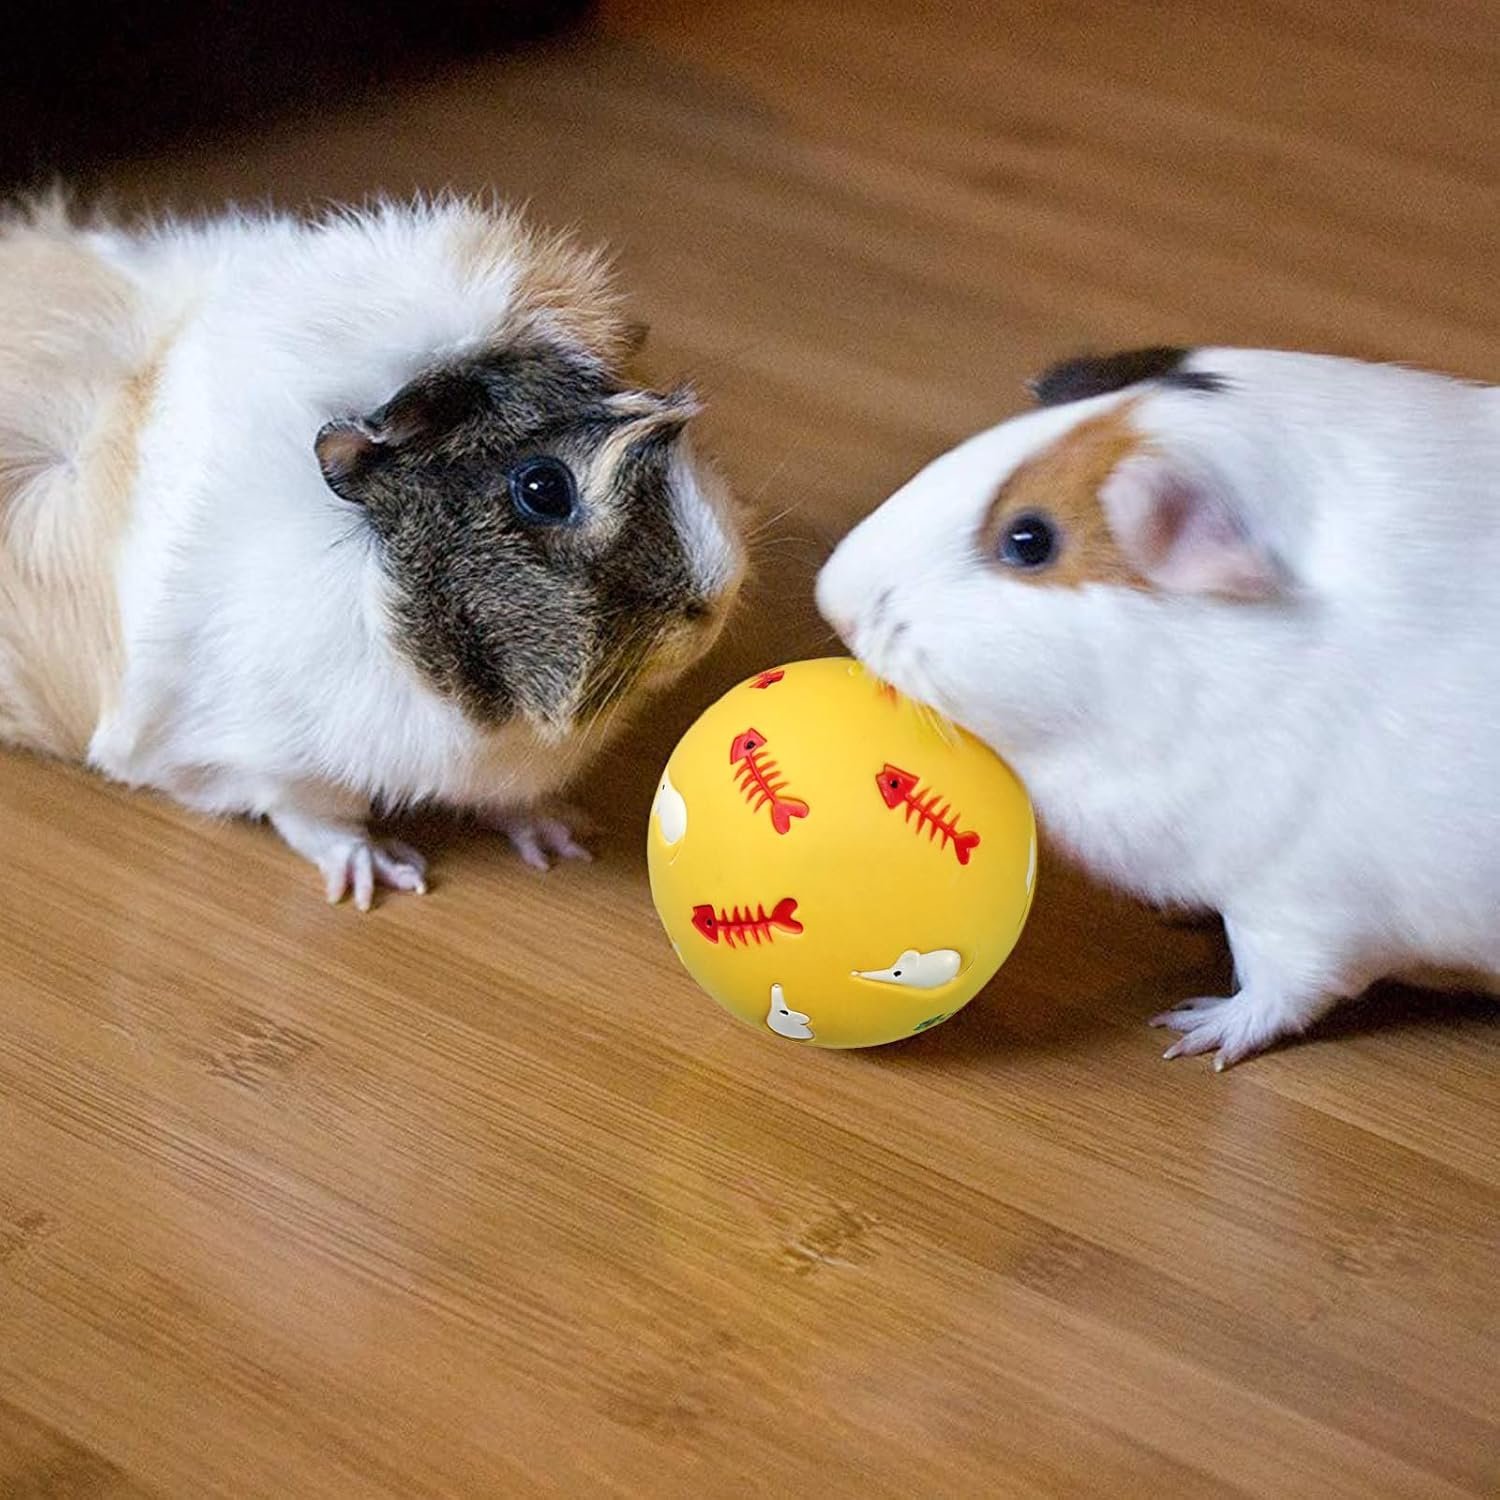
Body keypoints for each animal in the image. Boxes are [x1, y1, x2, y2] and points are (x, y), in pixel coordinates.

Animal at [0, 194, 743, 907]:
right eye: (543, 487)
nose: (717, 599)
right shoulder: (266, 757)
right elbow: (313, 818)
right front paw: (384, 877)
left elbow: (509, 800)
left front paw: (564, 838)